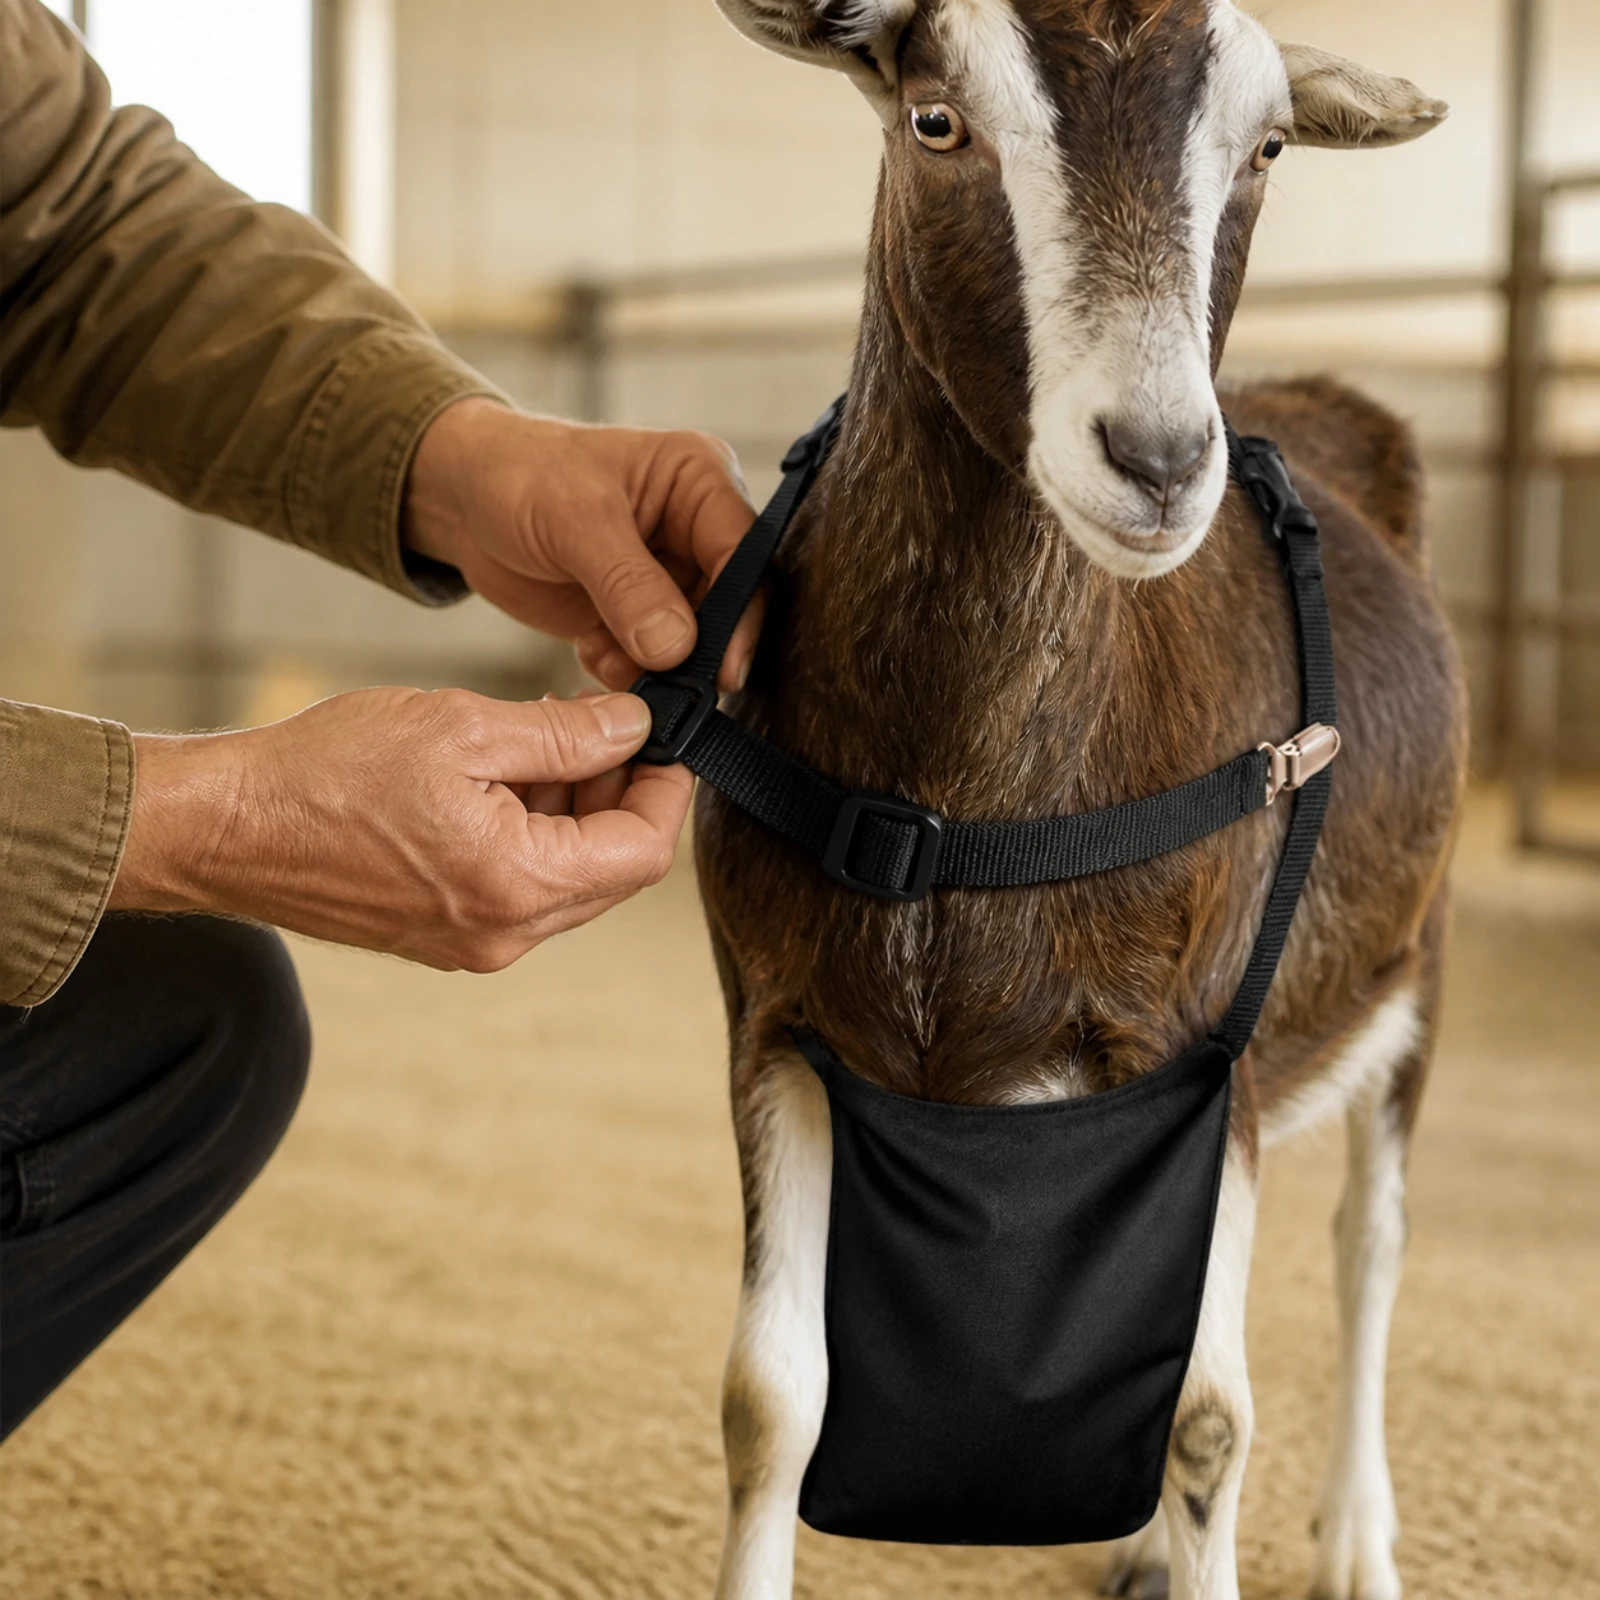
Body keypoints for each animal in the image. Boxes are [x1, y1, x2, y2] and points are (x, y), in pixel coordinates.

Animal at [693, 5, 1466, 1598]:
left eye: (1271, 145)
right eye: (935, 120)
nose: (1162, 460)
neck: (952, 804)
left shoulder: (1207, 1046)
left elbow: (1207, 1415)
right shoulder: (771, 1021)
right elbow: (770, 1399)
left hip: (1414, 959)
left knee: (1372, 1238)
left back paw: (1356, 1539)